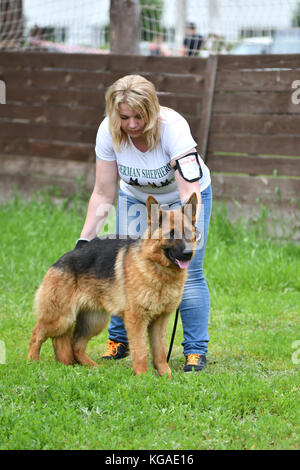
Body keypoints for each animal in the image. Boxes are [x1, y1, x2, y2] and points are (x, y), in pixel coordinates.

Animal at [27, 193, 198, 376]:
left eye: (188, 233)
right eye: (172, 234)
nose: (188, 254)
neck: (159, 270)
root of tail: (60, 261)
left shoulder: (160, 321)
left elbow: (160, 351)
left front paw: (165, 375)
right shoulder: (136, 319)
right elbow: (141, 351)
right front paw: (143, 376)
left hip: (94, 321)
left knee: (75, 345)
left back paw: (92, 366)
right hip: (61, 318)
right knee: (36, 334)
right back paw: (31, 362)